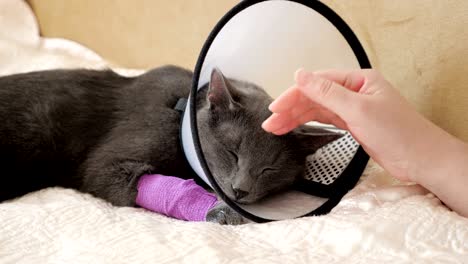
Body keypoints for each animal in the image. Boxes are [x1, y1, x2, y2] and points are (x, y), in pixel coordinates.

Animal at [0, 65, 336, 224]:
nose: (240, 190)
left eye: (270, 169)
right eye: (232, 152)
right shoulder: (109, 164)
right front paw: (221, 211)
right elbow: (114, 174)